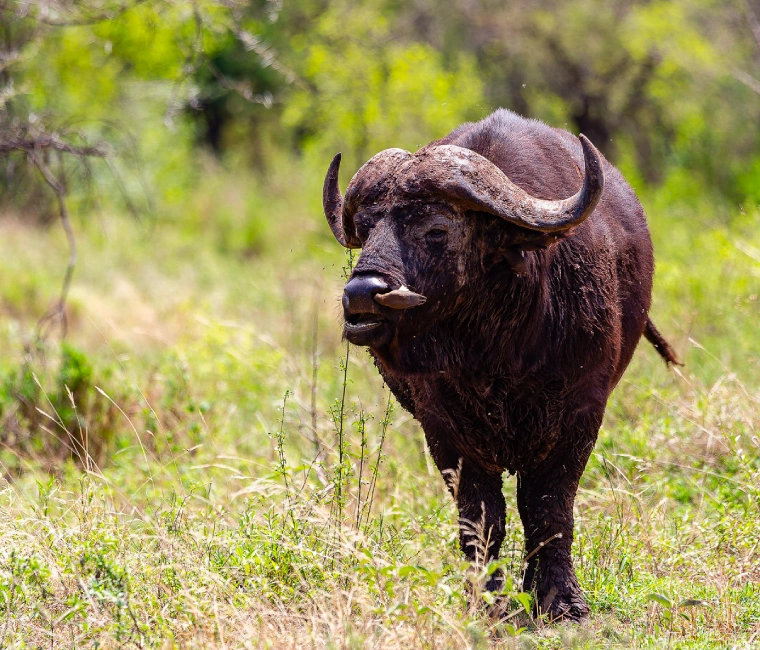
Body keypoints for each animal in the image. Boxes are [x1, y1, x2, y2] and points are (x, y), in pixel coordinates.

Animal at [322, 109, 678, 621]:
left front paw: (561, 600)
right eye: (367, 228)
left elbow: (549, 507)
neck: (498, 353)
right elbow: (482, 517)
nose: (361, 294)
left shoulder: (580, 418)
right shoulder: (445, 430)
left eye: (436, 229)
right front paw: (488, 599)